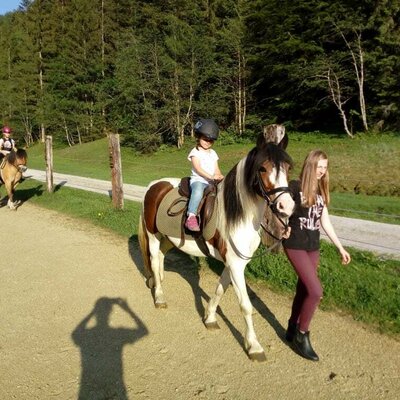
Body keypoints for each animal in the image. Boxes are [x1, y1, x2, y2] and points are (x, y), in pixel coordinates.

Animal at [139, 135, 296, 362]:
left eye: (288, 167)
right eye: (263, 168)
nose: (286, 206)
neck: (238, 216)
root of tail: (153, 185)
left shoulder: (234, 263)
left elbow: (220, 290)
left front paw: (210, 317)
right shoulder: (236, 265)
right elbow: (246, 306)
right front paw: (254, 346)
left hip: (168, 238)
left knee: (159, 257)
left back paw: (159, 280)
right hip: (152, 235)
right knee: (152, 258)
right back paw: (159, 296)